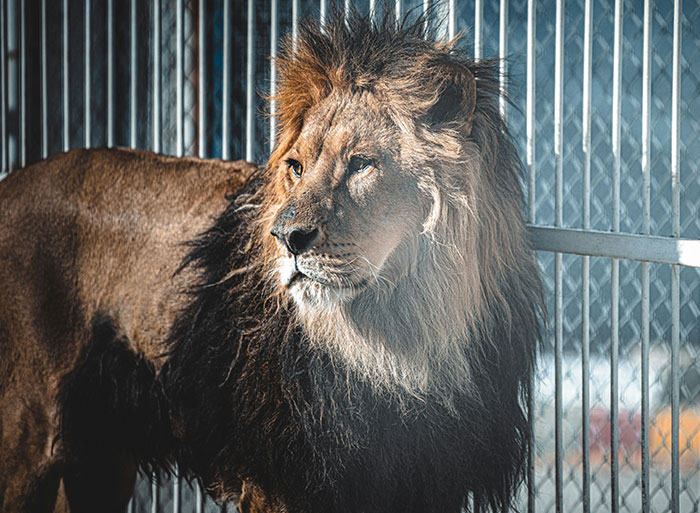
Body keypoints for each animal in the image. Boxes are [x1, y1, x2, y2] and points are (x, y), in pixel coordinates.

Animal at [0, 8, 542, 513]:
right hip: (26, 443)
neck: (407, 336)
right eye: (296, 167)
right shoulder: (281, 480)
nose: (286, 237)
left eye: (362, 164)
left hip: (99, 458)